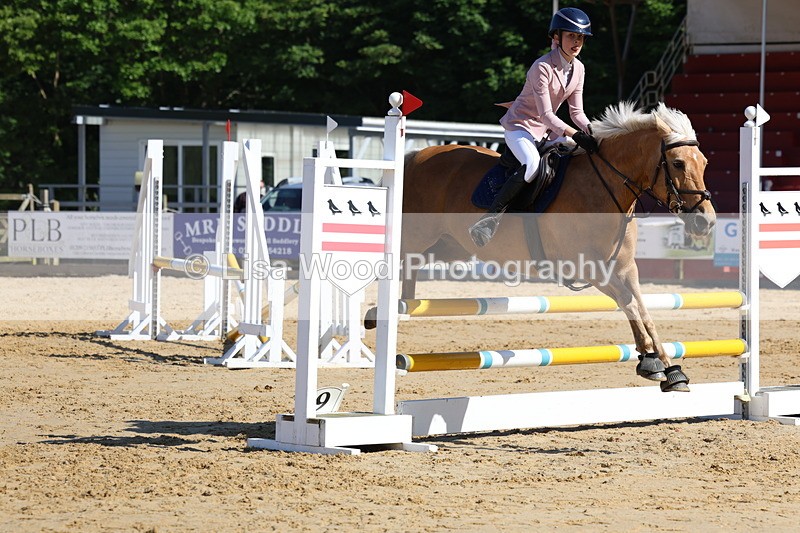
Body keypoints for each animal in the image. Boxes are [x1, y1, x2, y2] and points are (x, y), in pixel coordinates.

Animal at [397, 102, 715, 392]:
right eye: (678, 163)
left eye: (704, 163)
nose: (706, 222)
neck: (605, 189)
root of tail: (415, 157)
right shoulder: (588, 268)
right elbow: (630, 303)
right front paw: (650, 362)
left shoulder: (625, 268)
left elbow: (643, 310)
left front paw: (671, 371)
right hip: (415, 239)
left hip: (448, 246)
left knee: (410, 274)